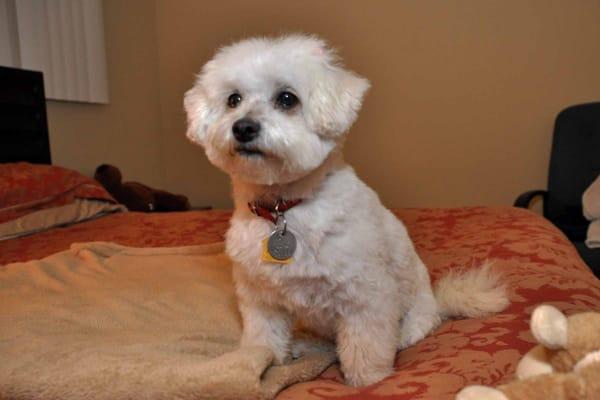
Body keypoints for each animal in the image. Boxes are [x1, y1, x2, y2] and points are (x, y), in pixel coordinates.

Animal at [185, 35, 508, 388]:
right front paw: (261, 364)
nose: (243, 127)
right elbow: (263, 341)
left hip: (414, 316)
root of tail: (438, 303)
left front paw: (369, 380)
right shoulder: (261, 301)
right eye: (233, 99)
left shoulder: (364, 297)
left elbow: (365, 345)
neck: (284, 209)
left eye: (287, 99)